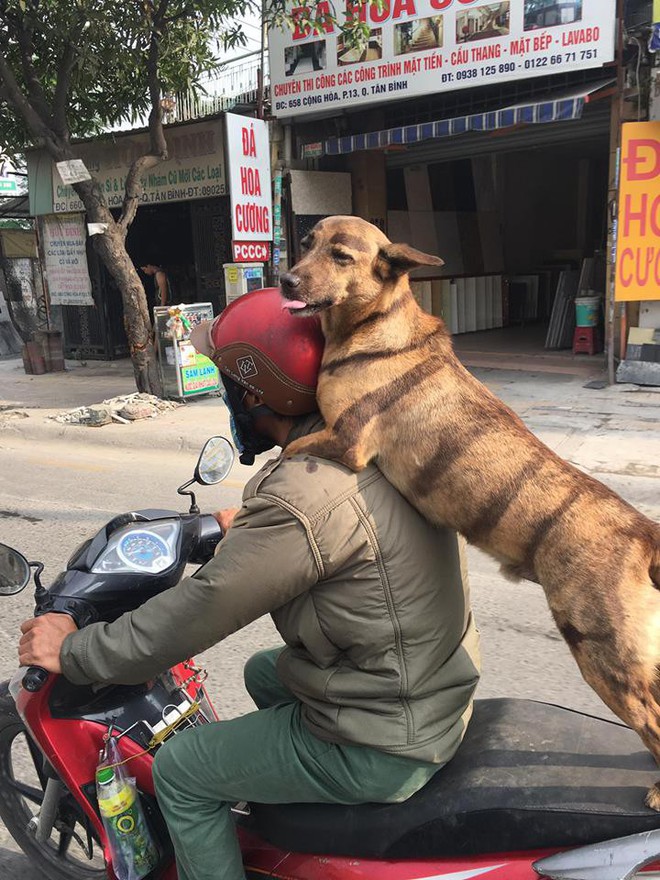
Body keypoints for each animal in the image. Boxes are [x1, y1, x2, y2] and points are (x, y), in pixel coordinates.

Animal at [282, 217, 660, 808]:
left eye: (341, 256)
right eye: (306, 244)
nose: (285, 279)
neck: (374, 327)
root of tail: (643, 531)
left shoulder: (346, 441)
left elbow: (289, 450)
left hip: (608, 660)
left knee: (653, 721)